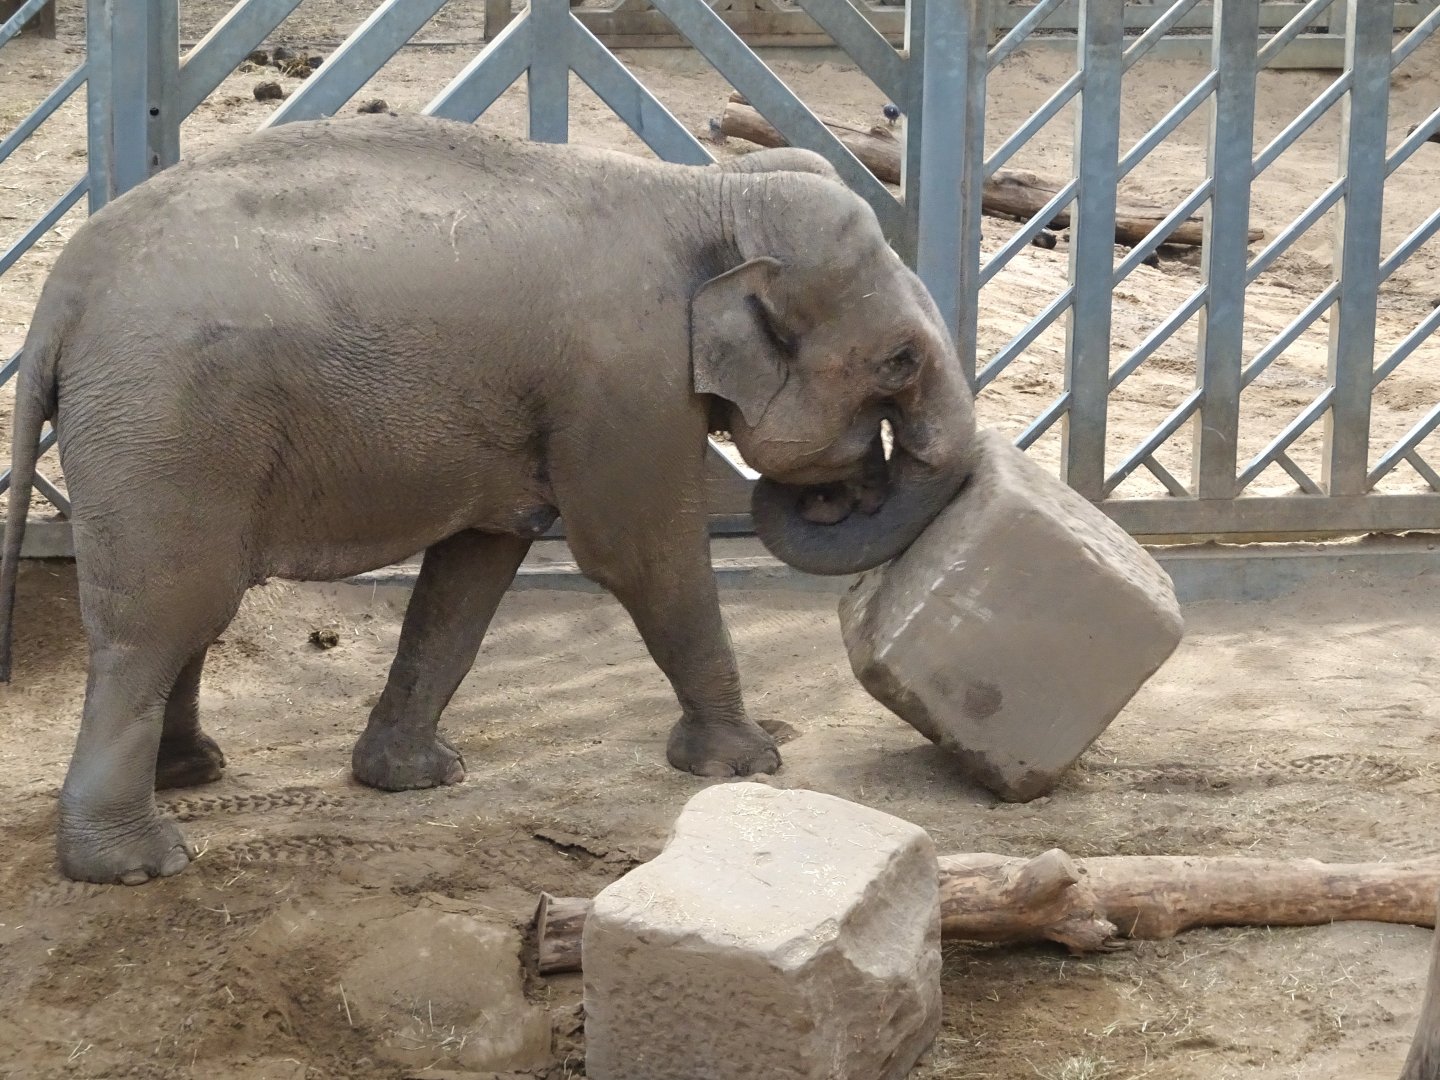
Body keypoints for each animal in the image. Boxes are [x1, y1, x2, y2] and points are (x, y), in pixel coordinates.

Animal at [0, 114, 979, 885]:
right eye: (899, 362)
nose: (846, 489)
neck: (709, 191)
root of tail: (60, 300)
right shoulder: (627, 378)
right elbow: (641, 555)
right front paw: (749, 763)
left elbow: (475, 567)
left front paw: (418, 778)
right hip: (167, 425)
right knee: (161, 620)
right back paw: (139, 863)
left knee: (192, 613)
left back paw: (193, 773)